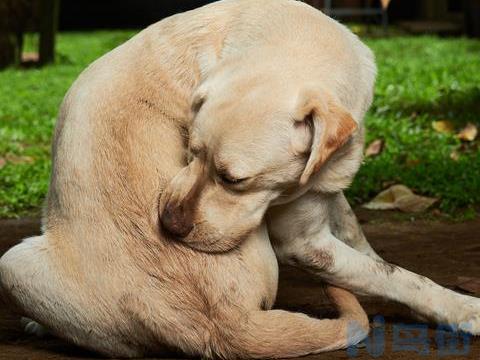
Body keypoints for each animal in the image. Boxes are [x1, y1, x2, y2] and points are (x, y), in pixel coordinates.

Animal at [0, 0, 480, 358]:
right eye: (190, 151)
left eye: (235, 180)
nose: (168, 225)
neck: (288, 37)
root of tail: (227, 328)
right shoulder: (304, 243)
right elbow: (394, 274)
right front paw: (462, 307)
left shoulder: (325, 198)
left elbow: (370, 252)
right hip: (12, 262)